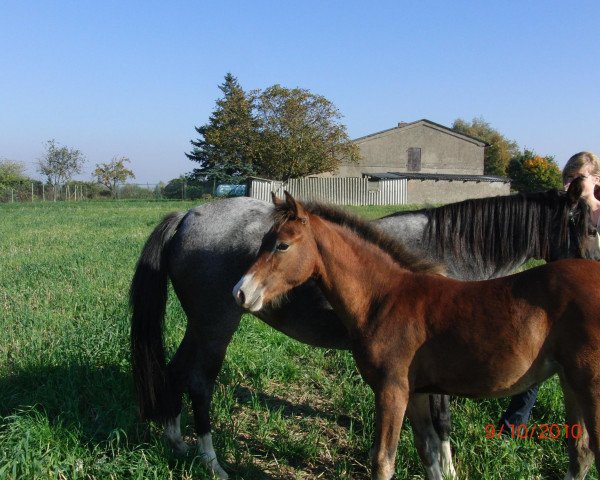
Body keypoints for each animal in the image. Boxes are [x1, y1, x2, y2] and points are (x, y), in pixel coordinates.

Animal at [129, 177, 596, 480]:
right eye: (592, 227)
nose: (594, 270)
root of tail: (187, 215)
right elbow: (441, 421)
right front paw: (448, 466)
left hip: (199, 325)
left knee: (175, 371)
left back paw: (177, 441)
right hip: (216, 324)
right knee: (200, 382)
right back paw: (212, 461)